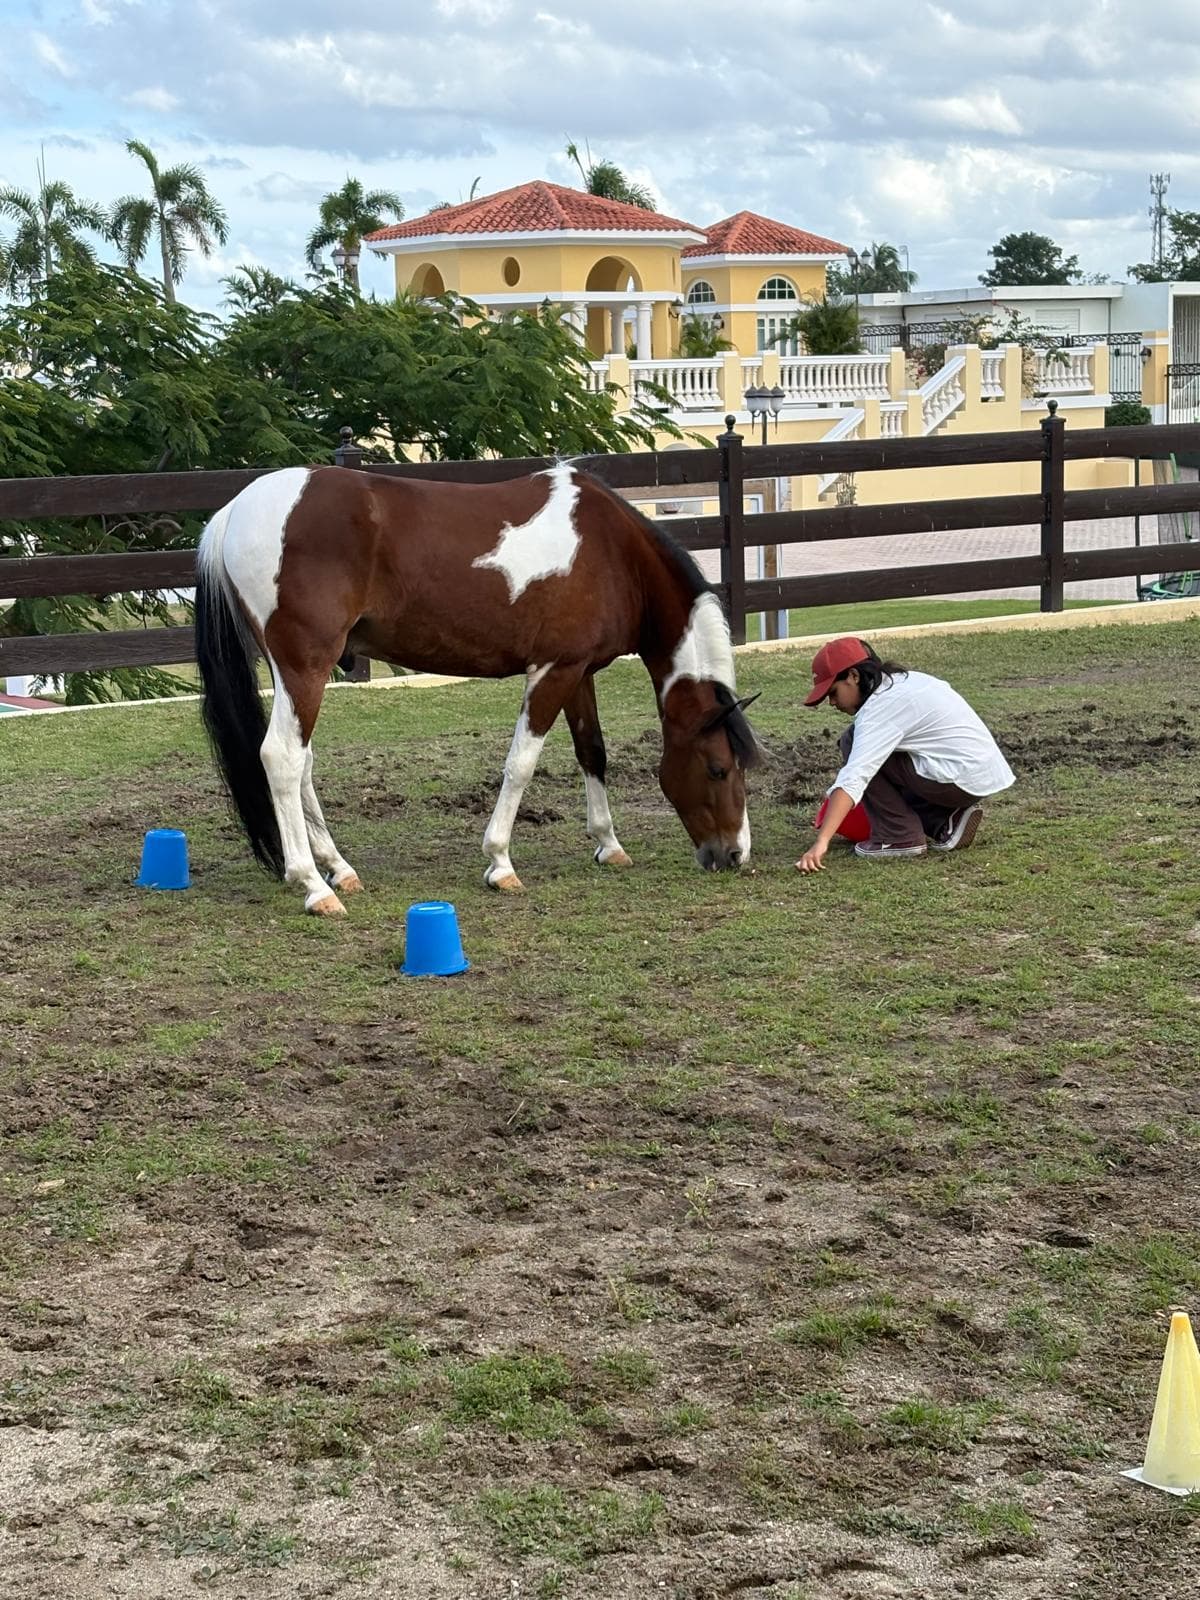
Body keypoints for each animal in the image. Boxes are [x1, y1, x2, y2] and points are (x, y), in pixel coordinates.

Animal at [194, 462, 761, 916]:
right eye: (718, 768)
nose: (734, 854)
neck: (613, 551)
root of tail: (236, 509)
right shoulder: (551, 671)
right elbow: (521, 764)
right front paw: (500, 862)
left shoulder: (579, 671)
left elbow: (592, 752)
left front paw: (608, 843)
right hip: (306, 666)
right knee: (283, 758)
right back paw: (314, 886)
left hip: (296, 673)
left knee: (302, 763)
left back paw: (339, 868)